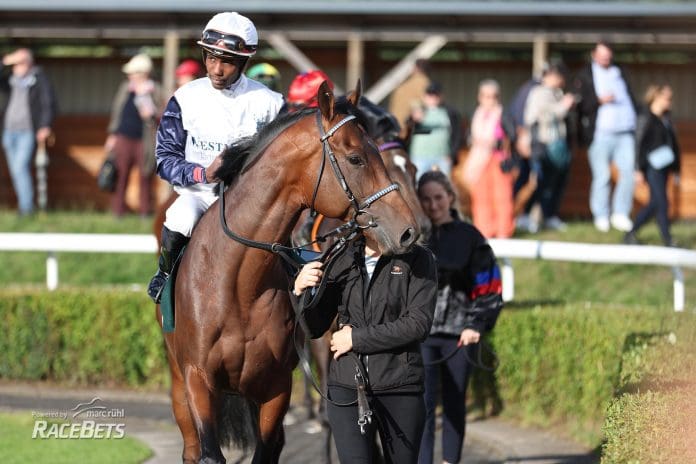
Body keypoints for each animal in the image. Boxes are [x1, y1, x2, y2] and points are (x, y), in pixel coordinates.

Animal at [158, 81, 418, 462]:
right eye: (356, 158)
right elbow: (208, 452)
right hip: (179, 385)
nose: (409, 230)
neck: (238, 284)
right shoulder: (198, 378)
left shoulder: (275, 387)